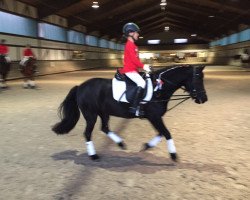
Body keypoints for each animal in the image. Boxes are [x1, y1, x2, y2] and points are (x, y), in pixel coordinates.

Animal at [51, 65, 208, 162]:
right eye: (198, 79)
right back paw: (94, 155)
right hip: (91, 115)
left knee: (105, 128)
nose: (204, 99)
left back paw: (121, 144)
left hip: (104, 112)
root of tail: (80, 87)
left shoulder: (154, 118)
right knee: (88, 133)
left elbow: (161, 133)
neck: (159, 89)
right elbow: (167, 133)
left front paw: (147, 146)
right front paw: (174, 155)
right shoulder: (154, 117)